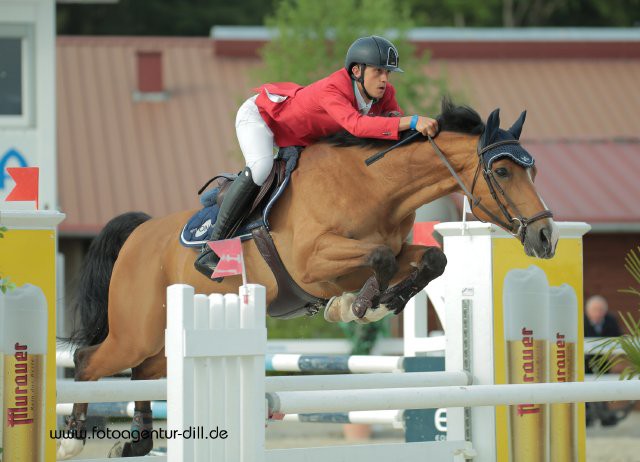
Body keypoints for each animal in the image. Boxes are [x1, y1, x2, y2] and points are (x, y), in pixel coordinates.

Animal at [57, 100, 556, 458]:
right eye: (502, 170)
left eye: (532, 169)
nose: (546, 236)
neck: (376, 187)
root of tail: (139, 232)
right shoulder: (314, 261)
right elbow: (379, 259)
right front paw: (356, 306)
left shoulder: (397, 251)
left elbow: (432, 259)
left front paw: (375, 303)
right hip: (135, 332)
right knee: (88, 361)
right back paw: (74, 438)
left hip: (163, 339)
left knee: (142, 374)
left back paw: (137, 442)